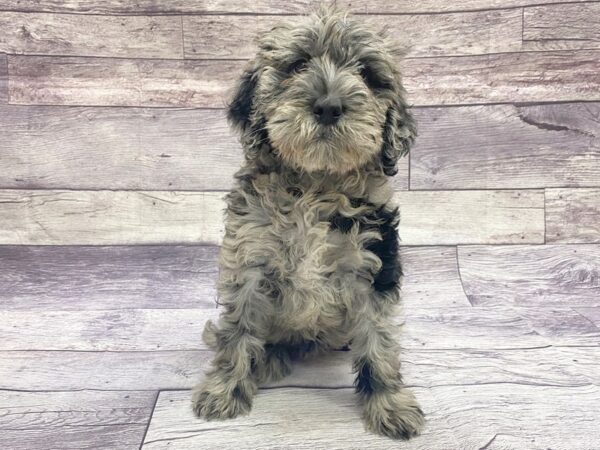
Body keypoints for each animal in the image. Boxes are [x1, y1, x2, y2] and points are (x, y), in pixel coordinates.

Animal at [191, 4, 422, 440]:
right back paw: (268, 359)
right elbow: (238, 328)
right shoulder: (249, 258)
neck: (316, 183)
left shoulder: (373, 262)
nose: (329, 106)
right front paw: (224, 390)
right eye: (297, 64)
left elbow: (378, 339)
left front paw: (390, 405)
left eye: (367, 74)